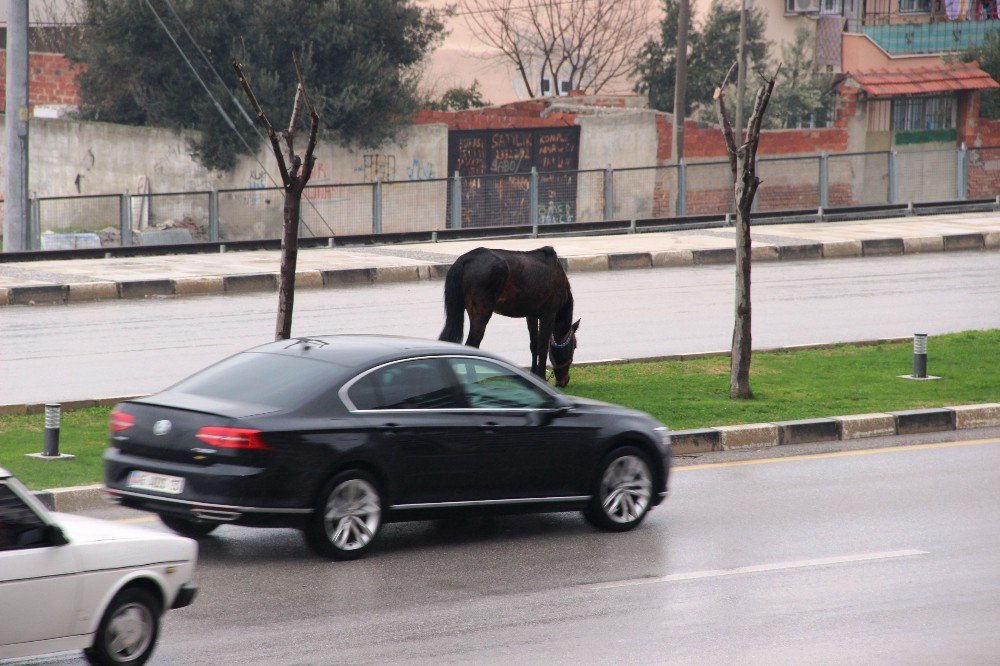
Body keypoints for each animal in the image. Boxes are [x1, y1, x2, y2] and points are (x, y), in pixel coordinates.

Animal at [436, 246, 580, 386]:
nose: (563, 381)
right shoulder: (549, 314)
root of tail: (464, 260)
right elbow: (542, 348)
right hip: (481, 313)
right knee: (472, 345)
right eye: (574, 345)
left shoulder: (531, 315)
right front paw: (542, 377)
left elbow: (534, 344)